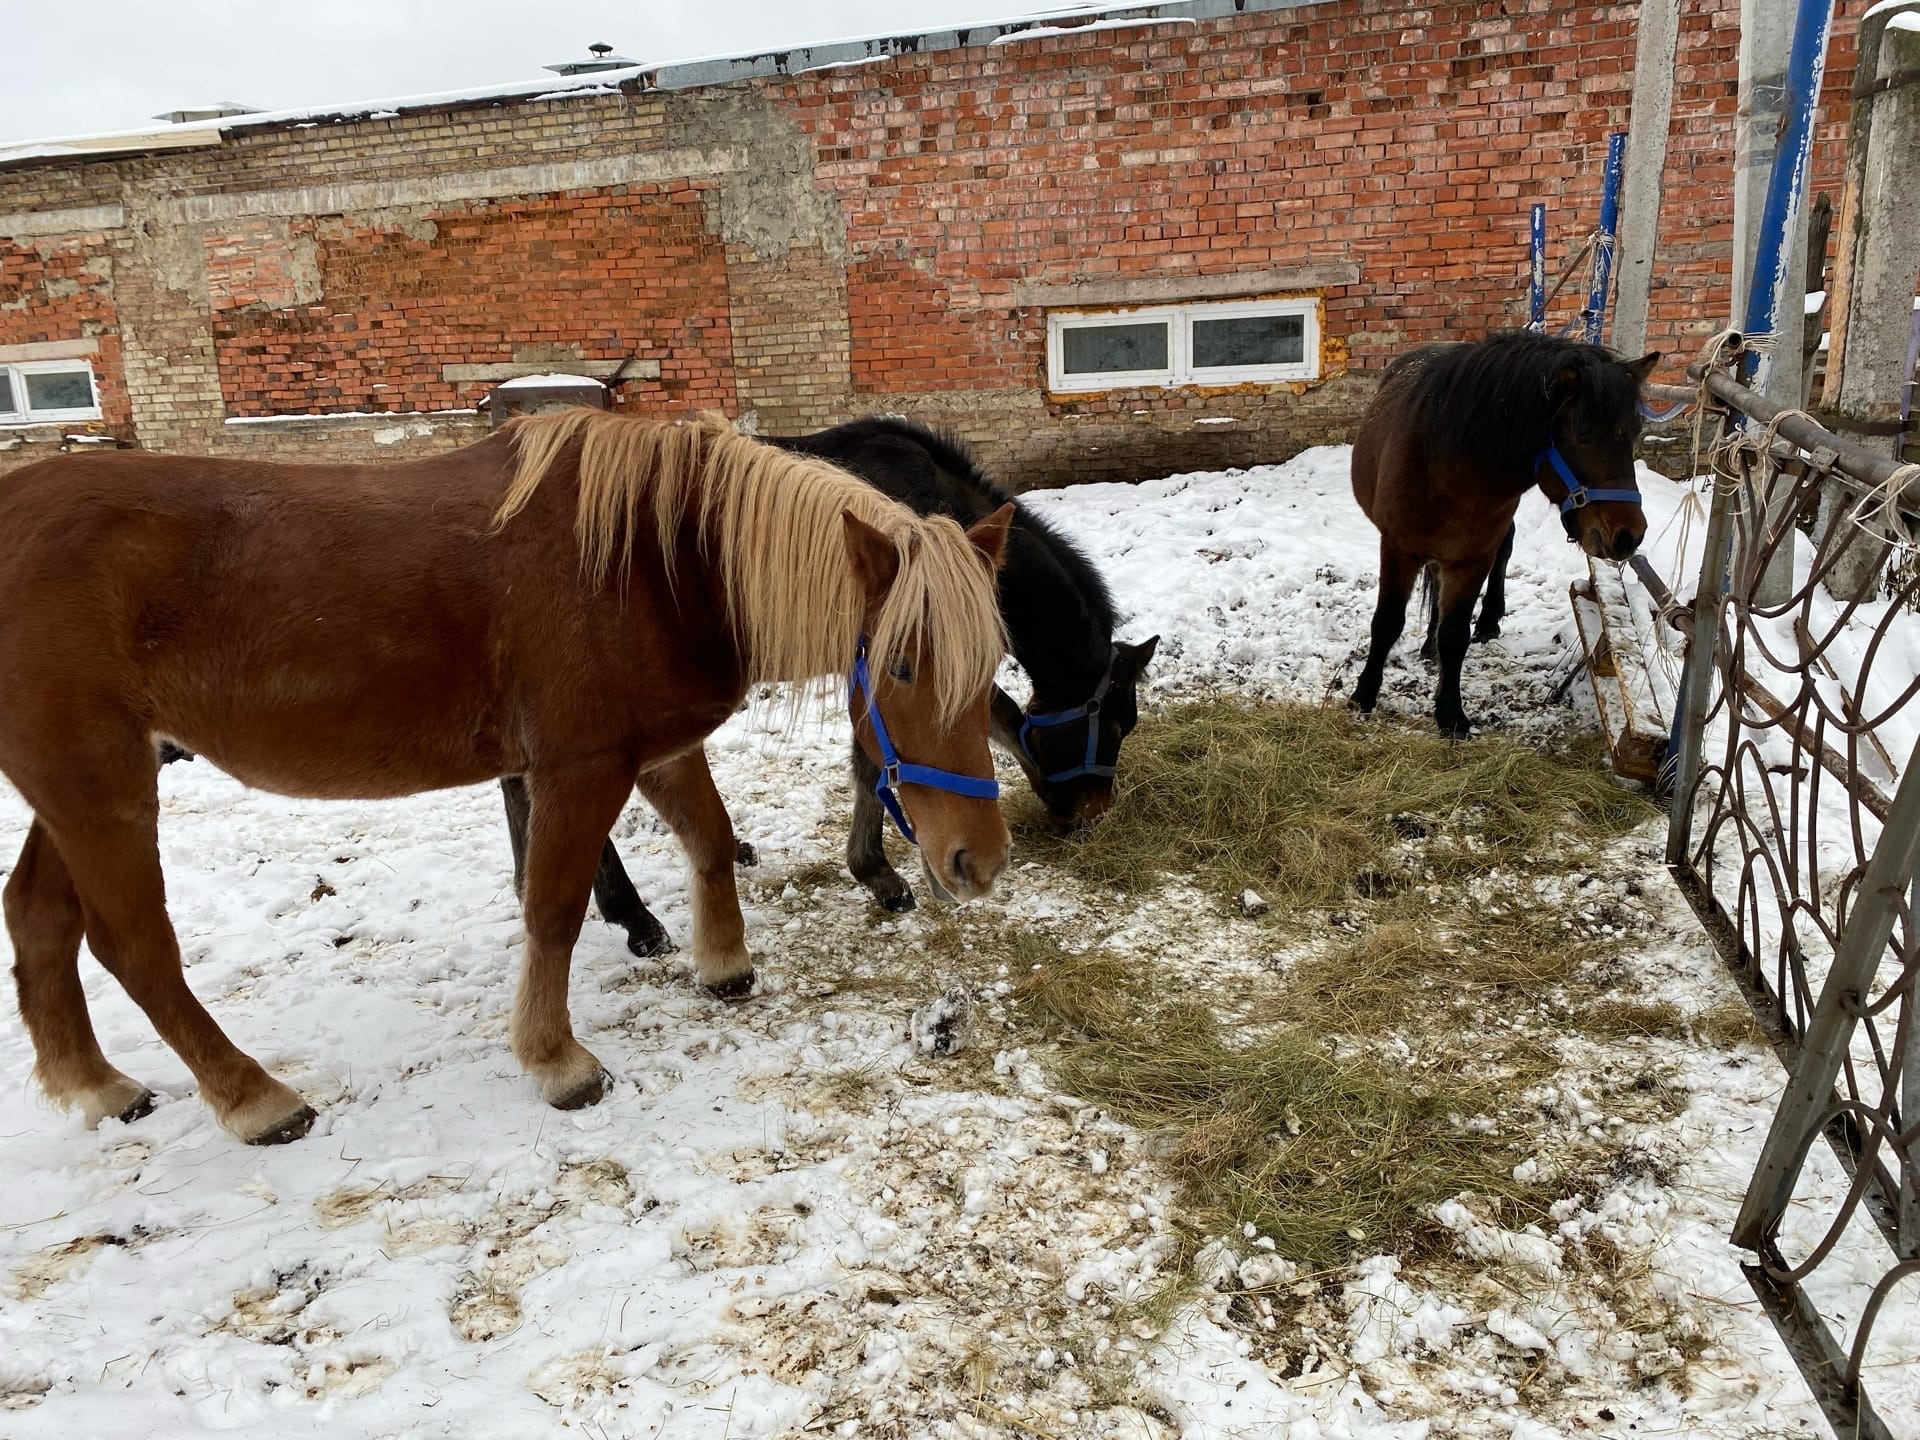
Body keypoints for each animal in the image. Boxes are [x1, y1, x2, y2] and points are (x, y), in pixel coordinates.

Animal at [0, 408, 1013, 1152]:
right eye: (904, 666)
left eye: (992, 662)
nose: (980, 861)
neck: (659, 556)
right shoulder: (580, 767)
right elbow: (554, 909)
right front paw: (559, 1061)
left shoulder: (656, 748)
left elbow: (711, 838)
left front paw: (723, 965)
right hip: (100, 786)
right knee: (134, 947)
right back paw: (255, 1099)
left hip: (83, 788)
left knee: (40, 916)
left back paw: (99, 1088)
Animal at [1351, 332, 1651, 737]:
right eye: (1584, 436)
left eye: (1635, 432)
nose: (1628, 535)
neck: (1446, 468)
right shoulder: (1398, 548)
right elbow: (1387, 622)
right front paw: (1363, 696)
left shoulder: (1474, 556)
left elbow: (1455, 634)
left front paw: (1451, 714)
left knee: (1498, 556)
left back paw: (1484, 623)